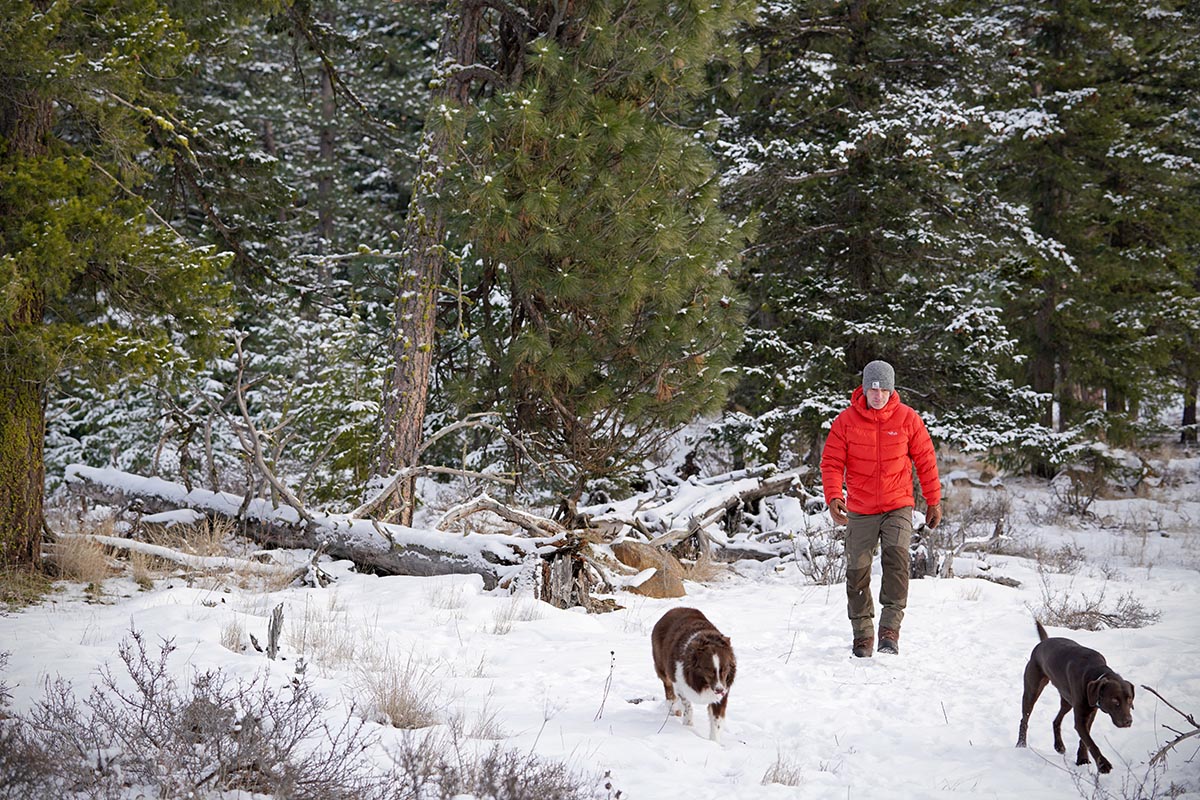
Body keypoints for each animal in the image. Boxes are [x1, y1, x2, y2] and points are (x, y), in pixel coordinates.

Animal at [652, 606, 734, 743]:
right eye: (709, 670)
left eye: (724, 669)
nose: (719, 690)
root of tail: (673, 609)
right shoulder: (681, 683)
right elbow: (687, 705)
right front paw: (688, 725)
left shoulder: (724, 689)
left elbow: (716, 721)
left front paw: (714, 743)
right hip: (662, 666)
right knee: (668, 686)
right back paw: (674, 707)